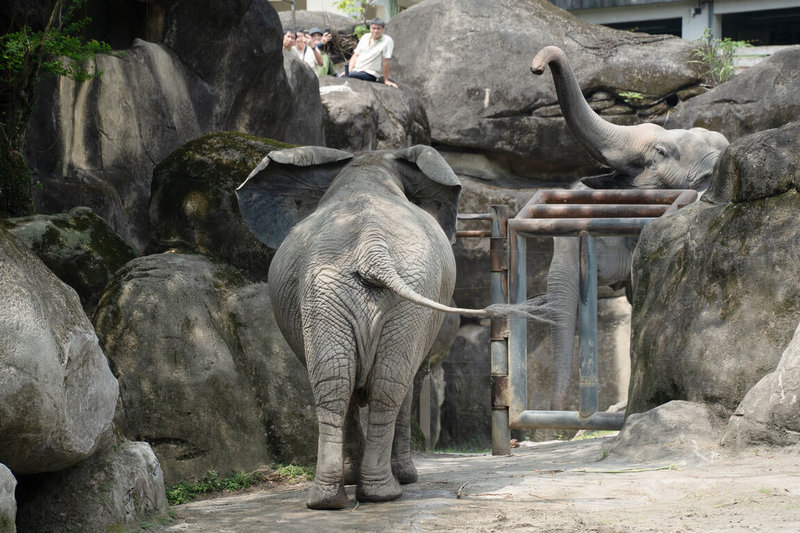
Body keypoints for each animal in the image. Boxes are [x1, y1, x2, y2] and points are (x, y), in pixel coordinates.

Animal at [236, 145, 547, 509]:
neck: (368, 165)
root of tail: (371, 248)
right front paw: (398, 477)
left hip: (326, 292)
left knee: (336, 380)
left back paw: (330, 500)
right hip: (387, 296)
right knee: (389, 383)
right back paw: (385, 492)